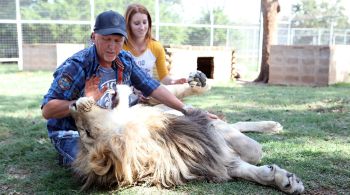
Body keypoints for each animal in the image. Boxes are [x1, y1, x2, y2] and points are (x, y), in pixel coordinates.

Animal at [69, 84, 304, 194]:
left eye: (86, 132)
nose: (72, 106)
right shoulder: (215, 159)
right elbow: (251, 164)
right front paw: (282, 180)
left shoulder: (206, 134)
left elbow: (251, 152)